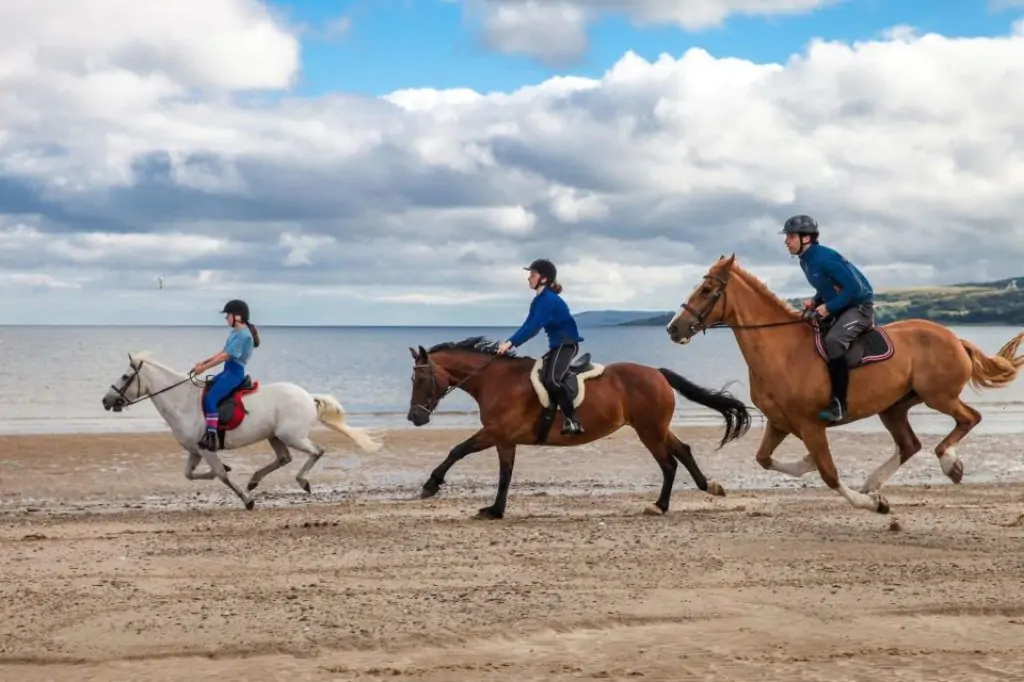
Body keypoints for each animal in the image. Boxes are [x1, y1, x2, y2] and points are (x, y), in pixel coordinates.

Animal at [100, 350, 385, 503]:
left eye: (125, 377)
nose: (106, 400)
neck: (182, 401)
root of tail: (308, 397)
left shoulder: (206, 450)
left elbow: (221, 476)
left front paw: (247, 501)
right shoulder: (195, 451)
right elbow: (191, 475)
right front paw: (232, 477)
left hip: (291, 435)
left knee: (316, 451)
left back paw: (301, 481)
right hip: (274, 436)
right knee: (284, 458)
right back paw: (254, 480)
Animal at [407, 333, 753, 516]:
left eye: (421, 379)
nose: (414, 418)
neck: (496, 380)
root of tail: (658, 373)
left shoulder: (495, 432)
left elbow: (457, 450)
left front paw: (430, 485)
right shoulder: (505, 439)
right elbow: (505, 474)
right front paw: (495, 510)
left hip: (648, 431)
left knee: (668, 462)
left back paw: (661, 505)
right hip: (656, 427)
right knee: (683, 450)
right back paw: (708, 486)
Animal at [663, 254, 1024, 516]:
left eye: (706, 291)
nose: (673, 328)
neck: (780, 349)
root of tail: (954, 337)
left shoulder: (810, 424)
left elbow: (829, 473)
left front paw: (872, 505)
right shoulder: (781, 423)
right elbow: (764, 459)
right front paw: (809, 463)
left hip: (939, 396)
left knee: (969, 418)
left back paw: (949, 463)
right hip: (894, 407)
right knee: (910, 444)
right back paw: (874, 482)